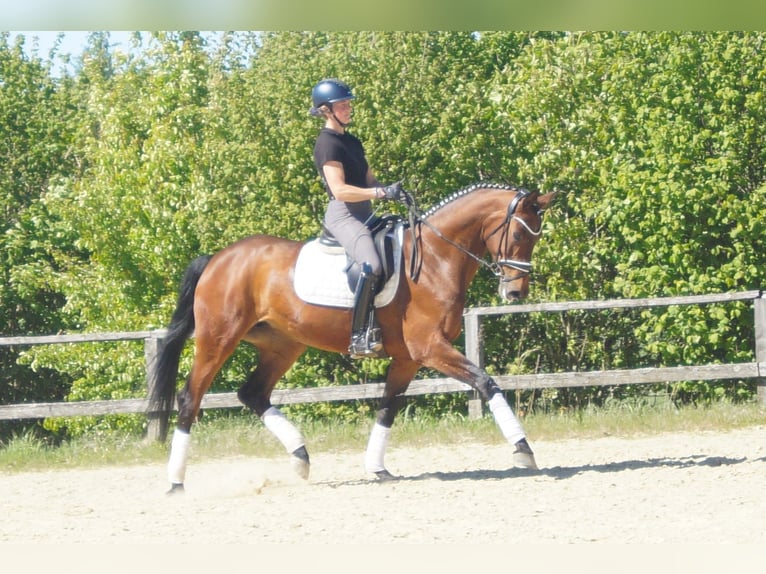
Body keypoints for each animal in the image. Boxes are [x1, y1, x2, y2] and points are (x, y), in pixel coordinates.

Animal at [149, 183, 556, 493]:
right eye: (519, 233)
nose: (515, 293)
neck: (436, 259)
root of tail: (219, 258)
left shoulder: (408, 358)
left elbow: (388, 407)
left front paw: (377, 467)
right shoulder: (431, 349)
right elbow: (486, 382)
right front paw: (523, 449)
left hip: (282, 345)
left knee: (253, 393)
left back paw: (300, 458)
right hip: (218, 339)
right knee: (190, 399)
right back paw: (175, 482)